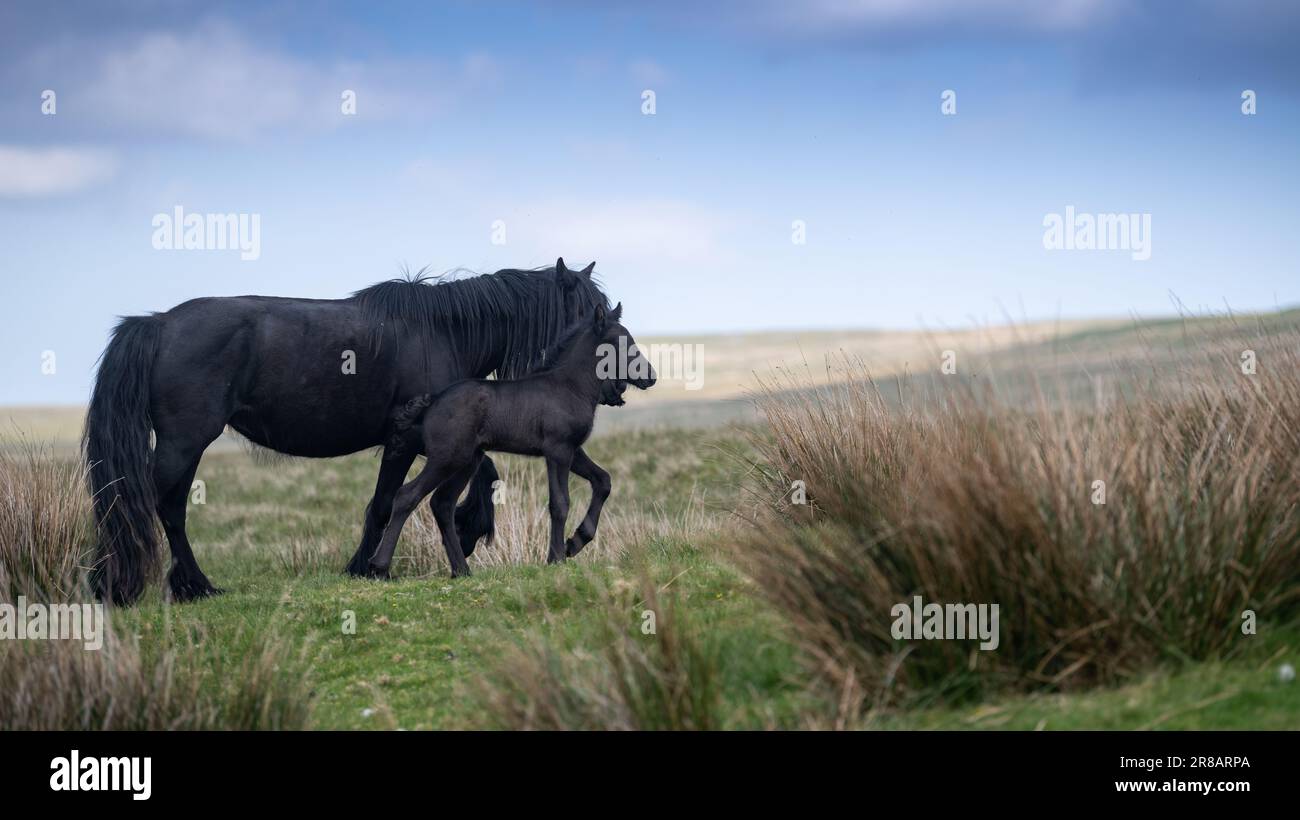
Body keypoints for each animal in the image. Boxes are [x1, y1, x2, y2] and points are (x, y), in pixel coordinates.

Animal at [84, 259, 609, 605]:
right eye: (593, 314)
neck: (445, 331)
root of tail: (158, 325)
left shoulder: (454, 435)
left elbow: (478, 474)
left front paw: (459, 532)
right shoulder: (411, 440)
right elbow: (387, 502)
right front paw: (372, 566)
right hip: (184, 442)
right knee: (158, 507)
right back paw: (168, 585)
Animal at [368, 302, 656, 577]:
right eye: (619, 343)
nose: (650, 376)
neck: (569, 386)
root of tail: (432, 402)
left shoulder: (573, 450)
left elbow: (603, 481)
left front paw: (575, 542)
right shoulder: (558, 450)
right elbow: (560, 503)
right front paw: (556, 557)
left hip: (468, 461)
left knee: (442, 503)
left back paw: (461, 570)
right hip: (447, 458)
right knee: (407, 495)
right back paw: (379, 566)